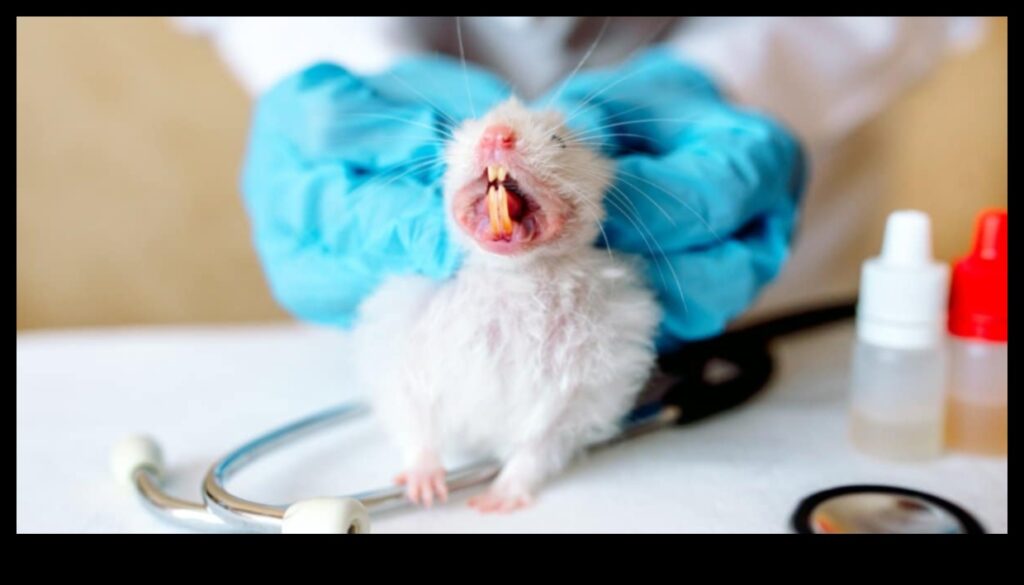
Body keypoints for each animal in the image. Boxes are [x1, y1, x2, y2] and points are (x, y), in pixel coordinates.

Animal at [353, 98, 660, 513]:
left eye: (558, 140)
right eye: (469, 132)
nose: (497, 134)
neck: (516, 276)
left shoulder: (586, 390)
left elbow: (536, 447)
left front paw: (492, 503)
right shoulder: (405, 352)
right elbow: (416, 423)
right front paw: (425, 490)